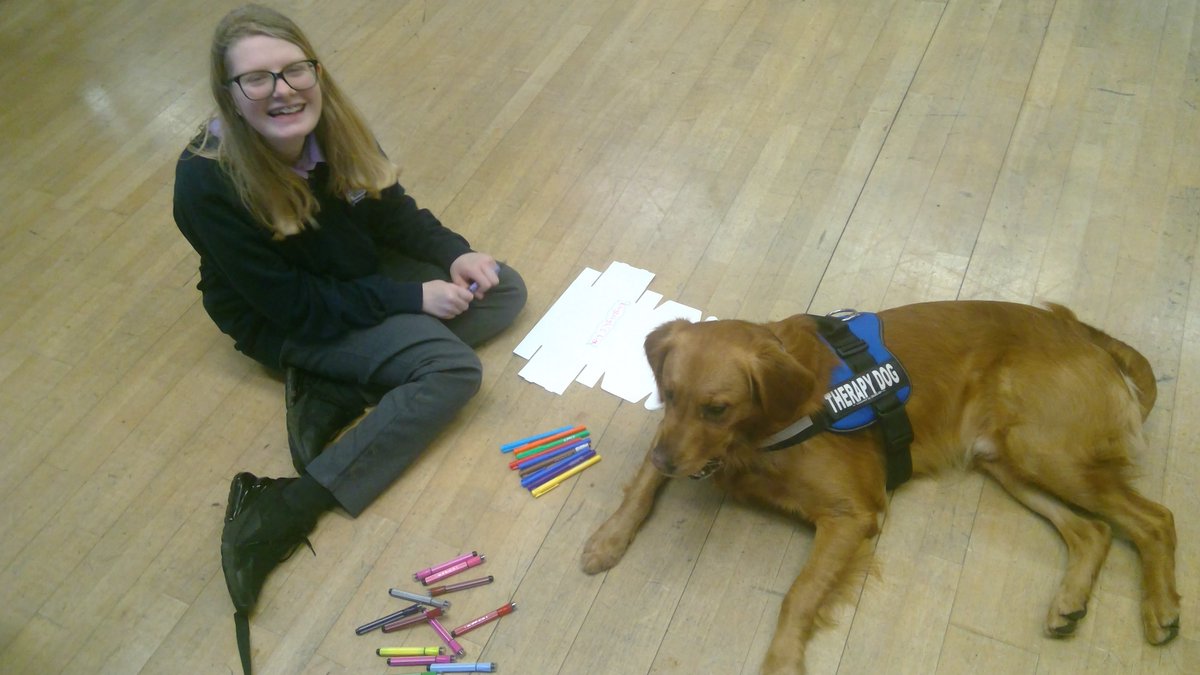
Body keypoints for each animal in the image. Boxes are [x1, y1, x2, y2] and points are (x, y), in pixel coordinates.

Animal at [583, 300, 1180, 672]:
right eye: (668, 393)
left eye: (717, 408)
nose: (667, 458)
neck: (768, 427)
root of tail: (1089, 339)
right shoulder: (670, 440)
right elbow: (642, 484)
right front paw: (609, 538)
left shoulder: (853, 514)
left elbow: (798, 594)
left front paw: (782, 660)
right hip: (1008, 462)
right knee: (1093, 531)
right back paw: (1071, 600)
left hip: (1042, 452)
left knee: (1155, 520)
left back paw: (1161, 609)